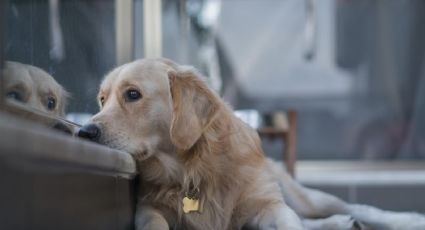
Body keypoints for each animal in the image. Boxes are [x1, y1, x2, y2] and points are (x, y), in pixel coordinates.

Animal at [76, 58, 302, 229]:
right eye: (102, 99)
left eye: (132, 94)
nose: (84, 131)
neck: (193, 169)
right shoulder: (149, 207)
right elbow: (153, 221)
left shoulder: (268, 202)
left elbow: (288, 220)